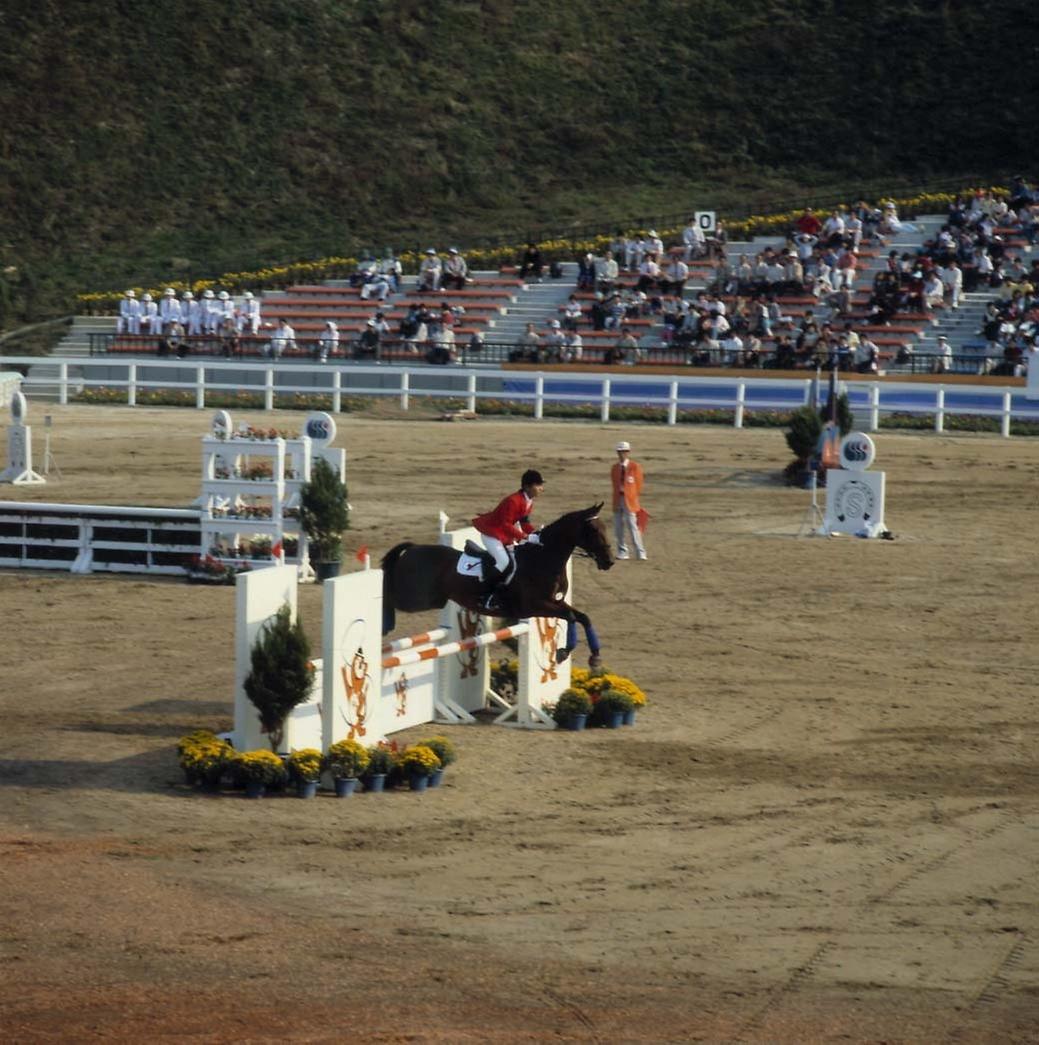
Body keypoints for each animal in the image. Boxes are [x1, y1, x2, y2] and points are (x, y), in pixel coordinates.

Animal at [378, 503, 610, 664]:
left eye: (605, 528)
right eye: (594, 530)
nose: (609, 561)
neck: (543, 558)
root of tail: (413, 548)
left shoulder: (555, 602)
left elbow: (582, 617)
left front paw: (595, 657)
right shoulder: (536, 606)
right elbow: (571, 616)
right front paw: (563, 652)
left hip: (435, 599)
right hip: (416, 598)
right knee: (390, 594)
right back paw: (384, 623)